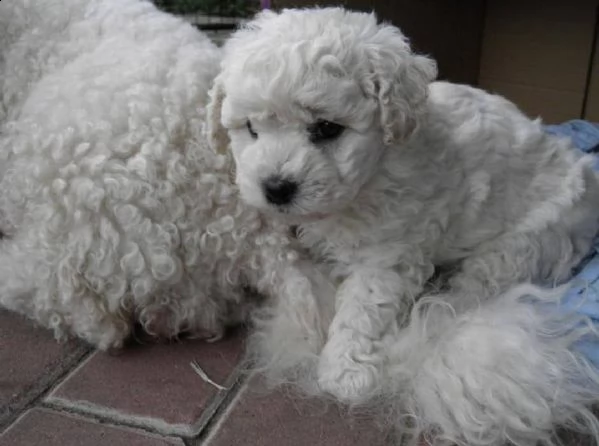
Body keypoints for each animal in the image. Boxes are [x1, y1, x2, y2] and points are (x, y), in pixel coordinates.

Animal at [207, 6, 599, 446]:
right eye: (250, 128)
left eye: (326, 128)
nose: (275, 188)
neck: (372, 173)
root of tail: (584, 171)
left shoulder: (388, 251)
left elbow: (362, 309)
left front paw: (344, 372)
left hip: (526, 242)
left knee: (471, 290)